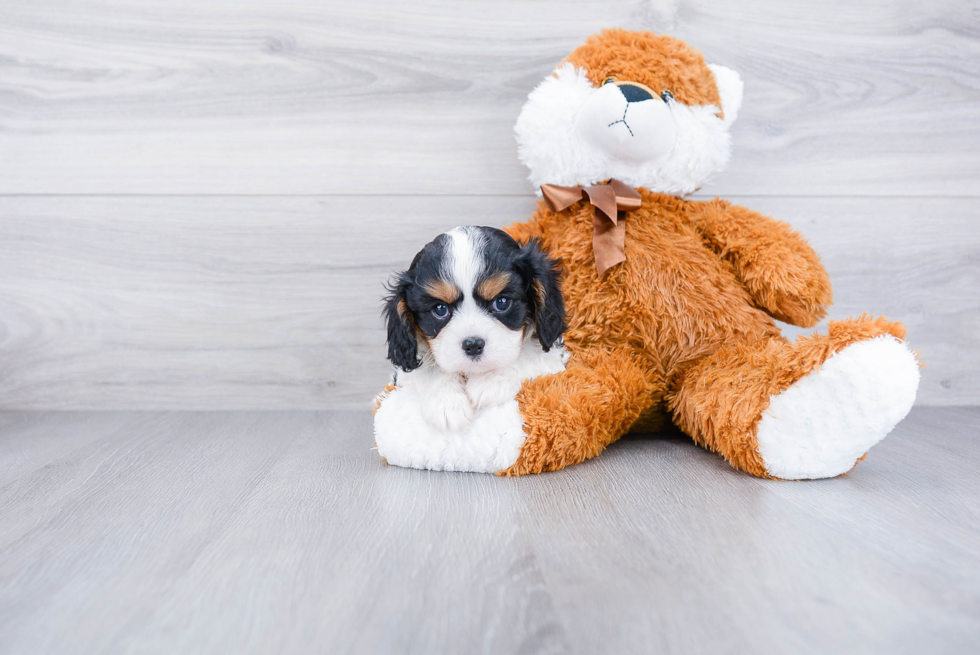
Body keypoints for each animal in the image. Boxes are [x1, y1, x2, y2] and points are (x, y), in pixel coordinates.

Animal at [382, 226, 568, 436]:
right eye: (440, 309)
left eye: (501, 302)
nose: (473, 345)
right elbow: (428, 369)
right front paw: (447, 403)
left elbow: (529, 354)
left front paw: (490, 381)